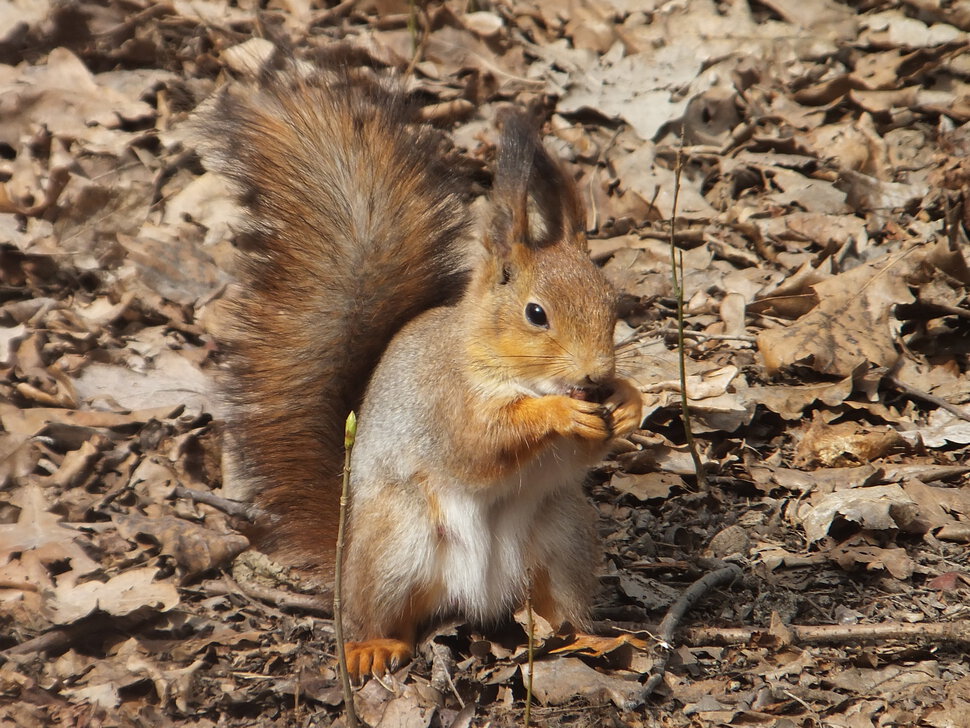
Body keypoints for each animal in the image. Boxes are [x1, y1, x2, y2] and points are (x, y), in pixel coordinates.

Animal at [190, 61, 644, 676]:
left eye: (613, 303)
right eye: (536, 314)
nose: (596, 374)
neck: (506, 366)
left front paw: (629, 402)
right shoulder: (445, 399)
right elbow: (479, 443)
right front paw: (558, 412)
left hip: (563, 539)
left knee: (559, 610)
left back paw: (590, 639)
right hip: (394, 545)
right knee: (381, 615)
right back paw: (372, 647)